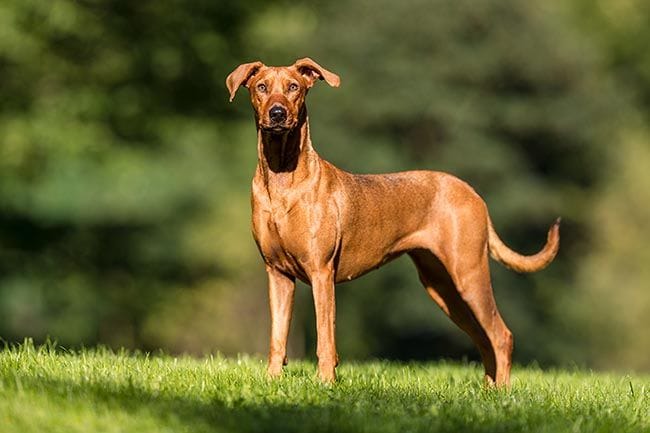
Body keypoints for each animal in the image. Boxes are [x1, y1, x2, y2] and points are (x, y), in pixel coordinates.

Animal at [224, 57, 556, 384]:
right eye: (262, 87)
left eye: (294, 87)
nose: (277, 113)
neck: (282, 175)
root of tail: (474, 194)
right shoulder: (278, 273)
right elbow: (277, 337)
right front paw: (272, 381)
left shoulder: (321, 272)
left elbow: (325, 339)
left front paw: (325, 383)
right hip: (442, 287)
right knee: (483, 338)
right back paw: (488, 390)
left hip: (469, 274)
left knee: (501, 335)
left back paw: (502, 391)